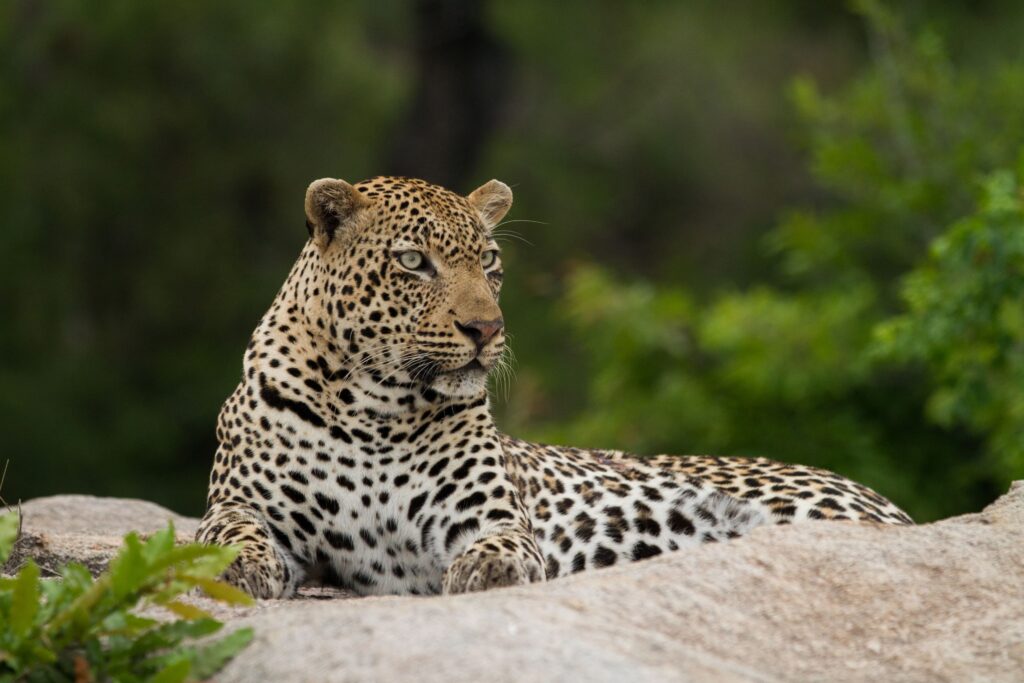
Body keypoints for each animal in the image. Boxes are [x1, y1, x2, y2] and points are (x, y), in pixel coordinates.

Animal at [196, 175, 913, 598]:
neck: (373, 406)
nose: (486, 328)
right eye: (413, 262)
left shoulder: (487, 515)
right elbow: (228, 531)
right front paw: (238, 566)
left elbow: (503, 545)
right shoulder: (244, 502)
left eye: (489, 261)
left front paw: (490, 569)